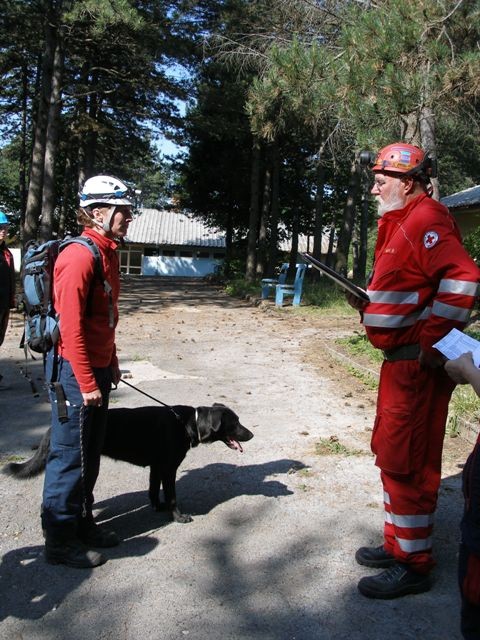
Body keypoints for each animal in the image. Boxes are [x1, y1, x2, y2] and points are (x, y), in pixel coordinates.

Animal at [4, 408, 255, 524]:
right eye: (235, 423)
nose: (252, 435)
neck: (188, 422)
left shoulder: (157, 467)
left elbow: (153, 490)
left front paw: (157, 507)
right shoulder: (168, 468)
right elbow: (172, 497)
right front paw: (178, 517)